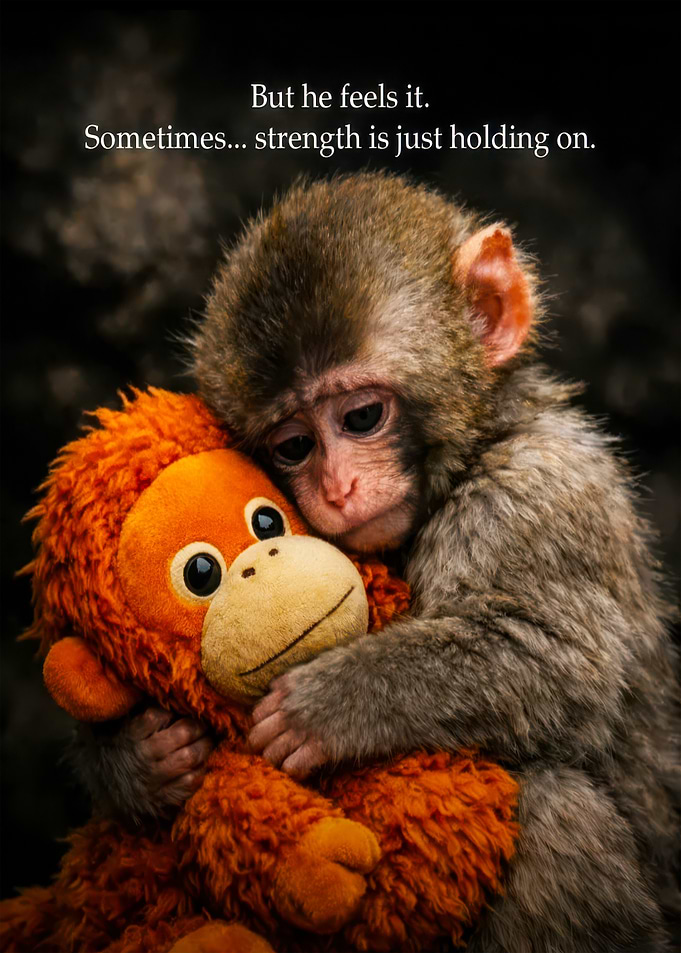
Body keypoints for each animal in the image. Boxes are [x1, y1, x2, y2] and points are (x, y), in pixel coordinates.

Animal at [68, 172, 678, 951]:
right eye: (293, 445)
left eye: (362, 417)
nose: (338, 488)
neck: (476, 451)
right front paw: (134, 760)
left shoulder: (536, 492)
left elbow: (558, 658)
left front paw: (329, 705)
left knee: (550, 810)